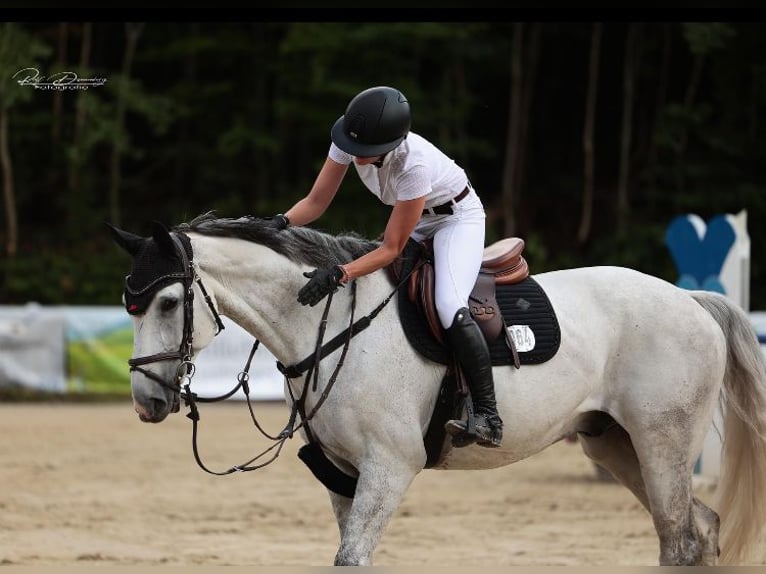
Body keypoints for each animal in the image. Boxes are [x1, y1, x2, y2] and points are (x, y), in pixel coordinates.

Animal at [106, 213, 766, 568]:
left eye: (168, 303)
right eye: (129, 305)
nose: (147, 402)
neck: (330, 322)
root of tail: (689, 299)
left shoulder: (390, 466)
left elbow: (353, 555)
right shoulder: (343, 475)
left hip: (661, 441)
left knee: (678, 538)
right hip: (615, 445)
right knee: (699, 528)